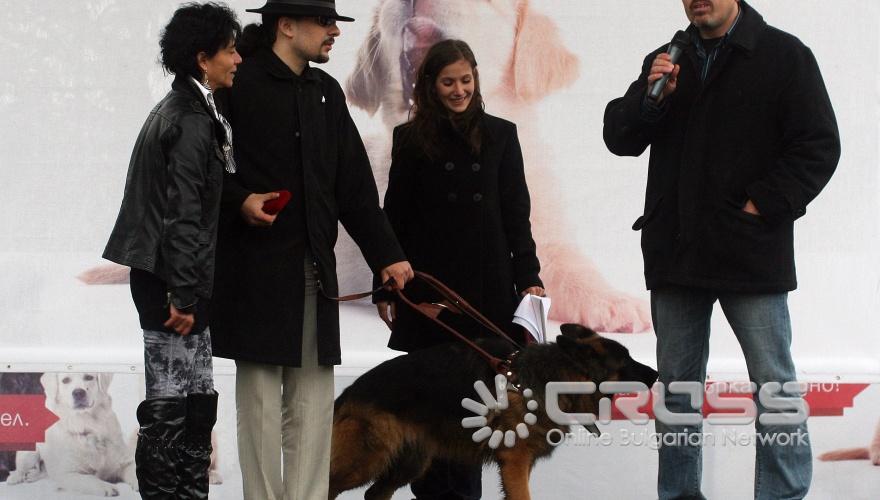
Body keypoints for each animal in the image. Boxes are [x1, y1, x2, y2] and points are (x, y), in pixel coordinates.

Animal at [326, 322, 656, 498]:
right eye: (626, 362)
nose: (655, 373)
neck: (551, 377)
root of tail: (347, 393)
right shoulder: (515, 461)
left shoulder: (519, 464)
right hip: (366, 460)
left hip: (409, 462)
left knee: (374, 492)